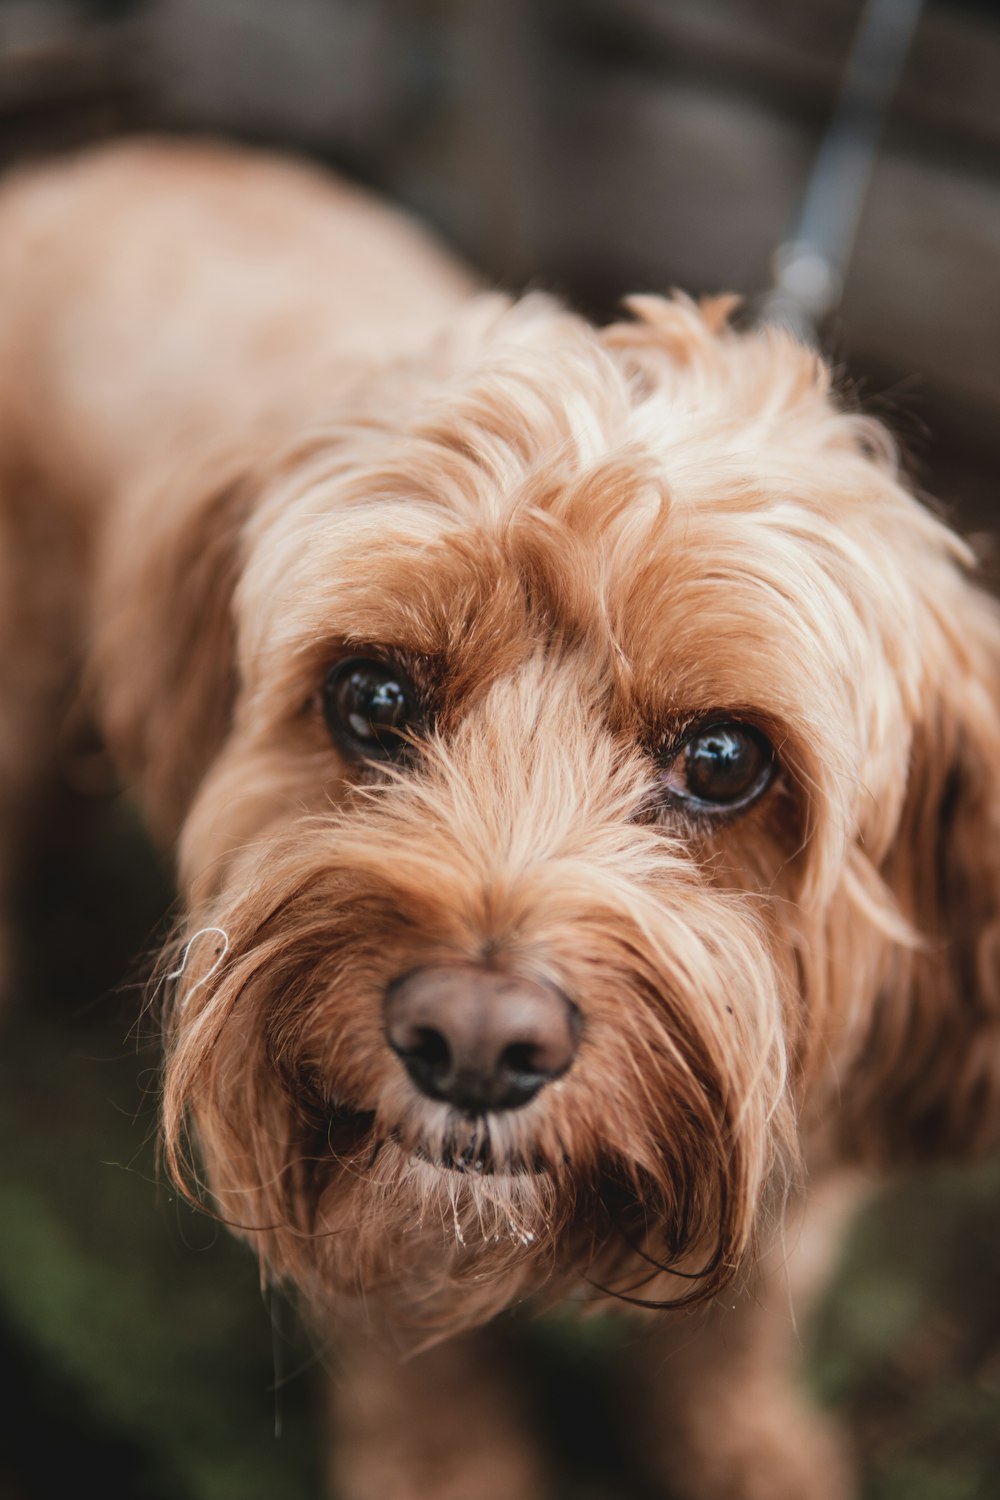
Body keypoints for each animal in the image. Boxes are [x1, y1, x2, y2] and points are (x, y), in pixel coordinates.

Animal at [1, 143, 1000, 1500]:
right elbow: (420, 1370)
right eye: (371, 696)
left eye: (725, 759)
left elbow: (733, 1335)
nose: (472, 1039)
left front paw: (747, 1449)